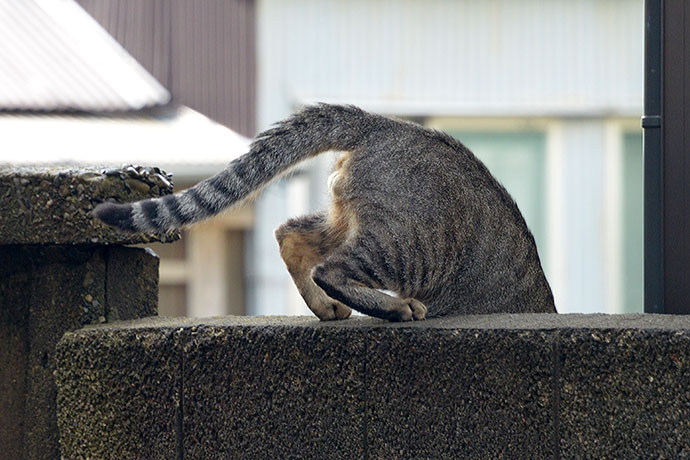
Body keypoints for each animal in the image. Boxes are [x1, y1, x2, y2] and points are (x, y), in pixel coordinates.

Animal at [94, 104, 552, 320]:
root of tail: (386, 124)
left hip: (346, 221)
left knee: (290, 235)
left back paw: (324, 307)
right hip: (406, 247)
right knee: (329, 269)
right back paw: (394, 308)